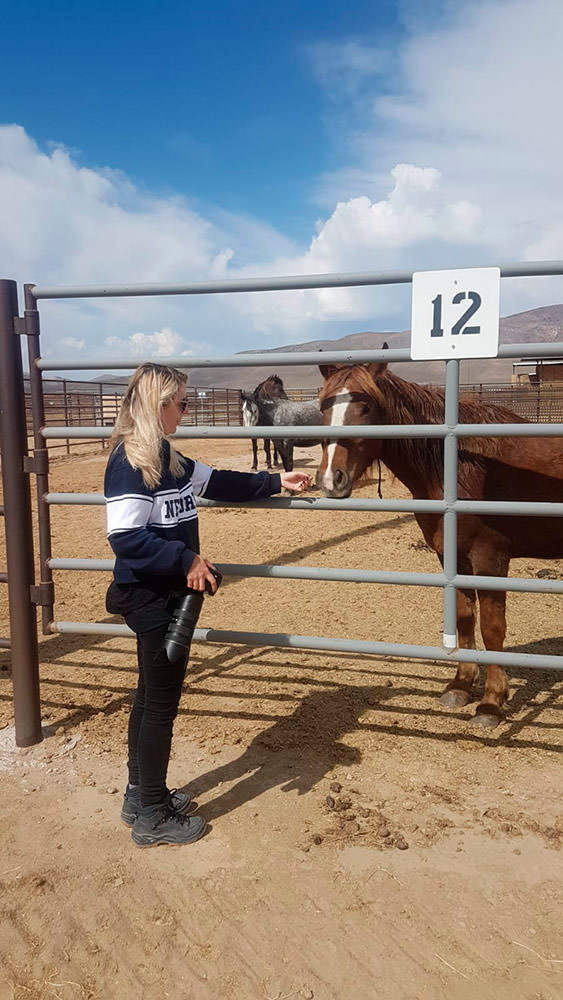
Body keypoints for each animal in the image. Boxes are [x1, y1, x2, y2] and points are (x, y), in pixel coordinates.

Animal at [316, 359, 563, 729]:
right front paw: (461, 686)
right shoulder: (453, 558)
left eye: (366, 406)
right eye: (322, 407)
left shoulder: (490, 560)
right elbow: (464, 618)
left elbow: (492, 629)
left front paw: (491, 703)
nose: (332, 479)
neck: (459, 465)